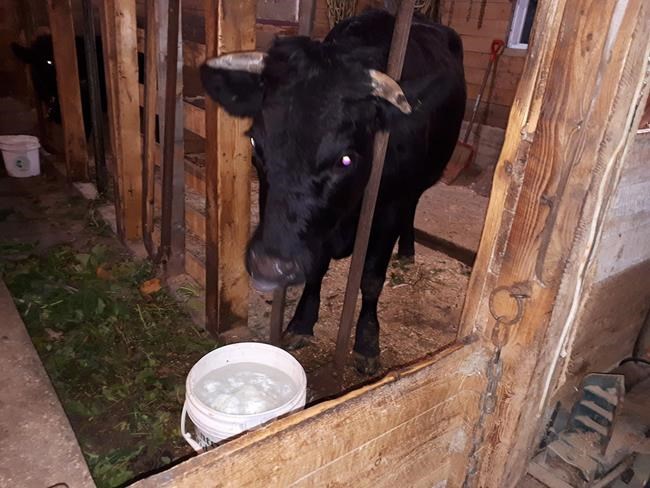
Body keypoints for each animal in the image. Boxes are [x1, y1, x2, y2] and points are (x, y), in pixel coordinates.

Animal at [200, 9, 466, 374]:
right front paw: (301, 323)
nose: (270, 267)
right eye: (255, 144)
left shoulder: (389, 210)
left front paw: (367, 342)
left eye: (346, 158)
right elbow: (316, 269)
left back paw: (408, 249)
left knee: (414, 205)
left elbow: (371, 278)